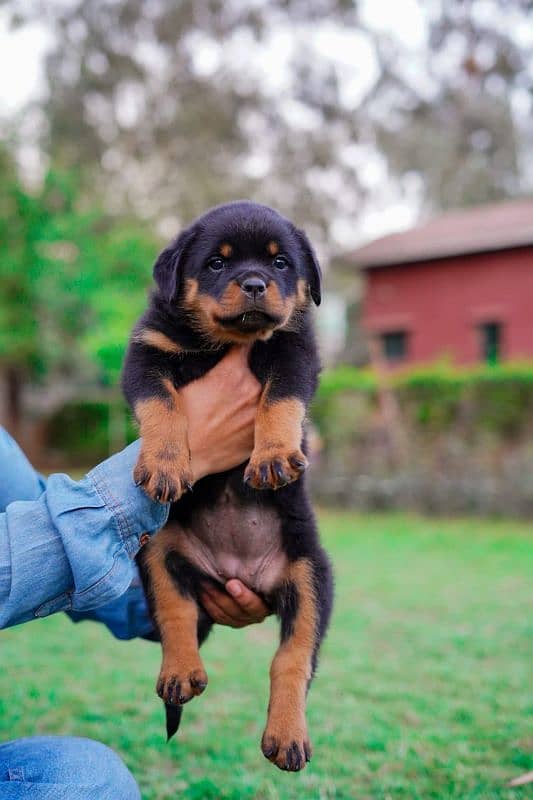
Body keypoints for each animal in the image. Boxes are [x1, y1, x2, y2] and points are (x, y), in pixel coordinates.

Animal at [122, 200, 334, 768]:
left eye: (281, 263)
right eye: (216, 264)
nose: (257, 283)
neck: (228, 340)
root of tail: (237, 570)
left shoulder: (293, 351)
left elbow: (280, 398)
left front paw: (275, 454)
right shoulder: (147, 353)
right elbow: (161, 403)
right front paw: (166, 463)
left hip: (311, 573)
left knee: (293, 656)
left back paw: (287, 734)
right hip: (157, 552)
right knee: (175, 612)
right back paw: (179, 673)